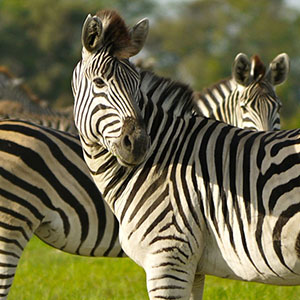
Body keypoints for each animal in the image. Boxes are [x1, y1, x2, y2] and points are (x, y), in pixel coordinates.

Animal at [72, 8, 300, 298]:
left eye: (137, 85)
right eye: (99, 82)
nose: (139, 144)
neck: (166, 159)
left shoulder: (168, 257)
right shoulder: (192, 267)